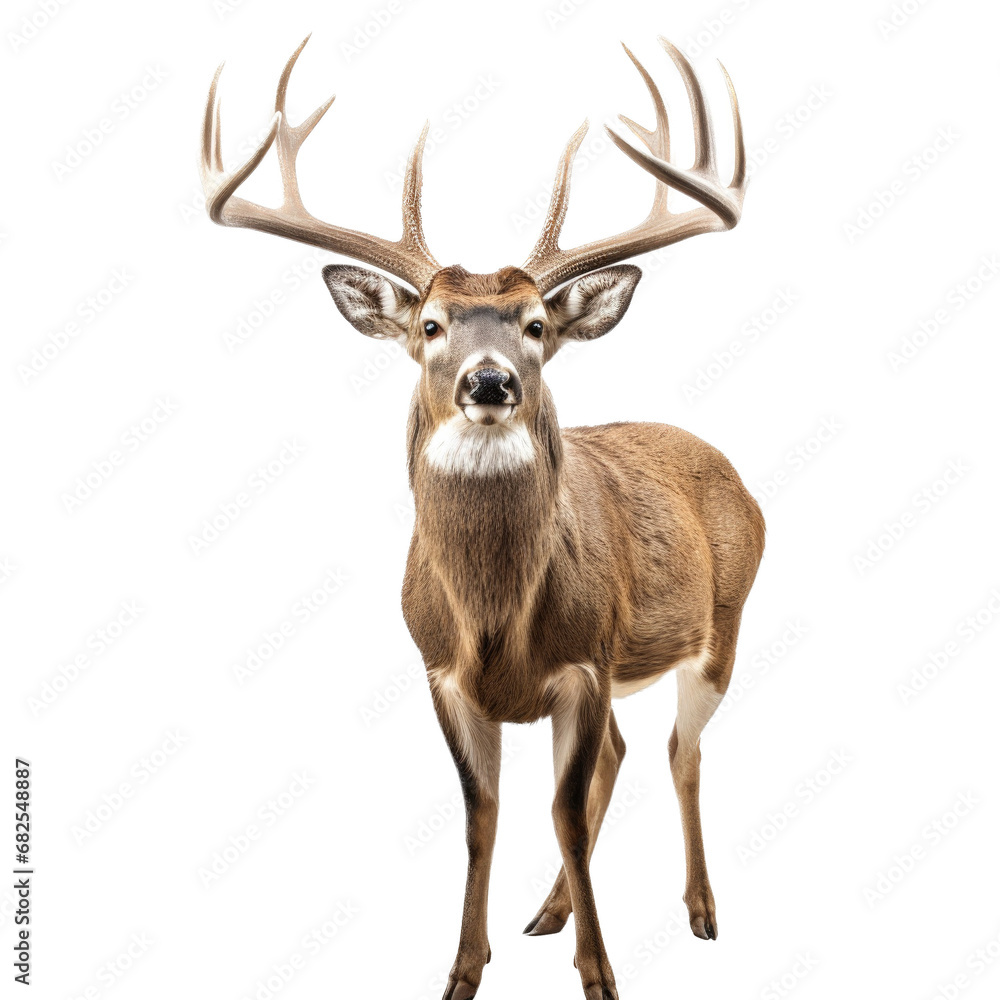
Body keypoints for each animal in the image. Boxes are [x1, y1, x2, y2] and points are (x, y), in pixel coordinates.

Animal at [200, 34, 765, 1000]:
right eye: (430, 325)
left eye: (536, 324)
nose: (489, 381)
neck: (498, 621)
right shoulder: (441, 672)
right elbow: (482, 815)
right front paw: (465, 969)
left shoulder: (585, 658)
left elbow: (563, 813)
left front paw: (601, 977)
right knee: (624, 750)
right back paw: (548, 912)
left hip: (721, 628)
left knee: (678, 753)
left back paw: (701, 911)